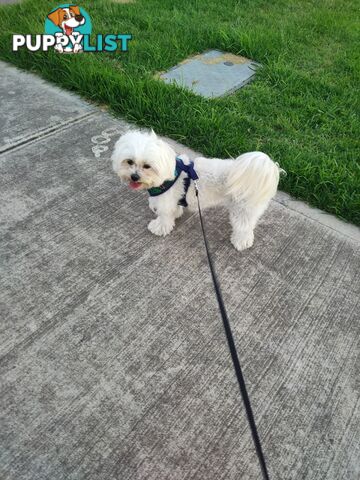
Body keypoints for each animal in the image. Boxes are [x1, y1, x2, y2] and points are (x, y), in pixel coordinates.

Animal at [112, 131, 282, 251]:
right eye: (129, 161)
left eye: (147, 166)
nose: (134, 176)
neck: (169, 173)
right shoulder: (174, 200)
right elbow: (174, 210)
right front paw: (176, 214)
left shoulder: (165, 202)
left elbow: (164, 217)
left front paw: (159, 228)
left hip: (243, 208)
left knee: (244, 227)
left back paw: (241, 242)